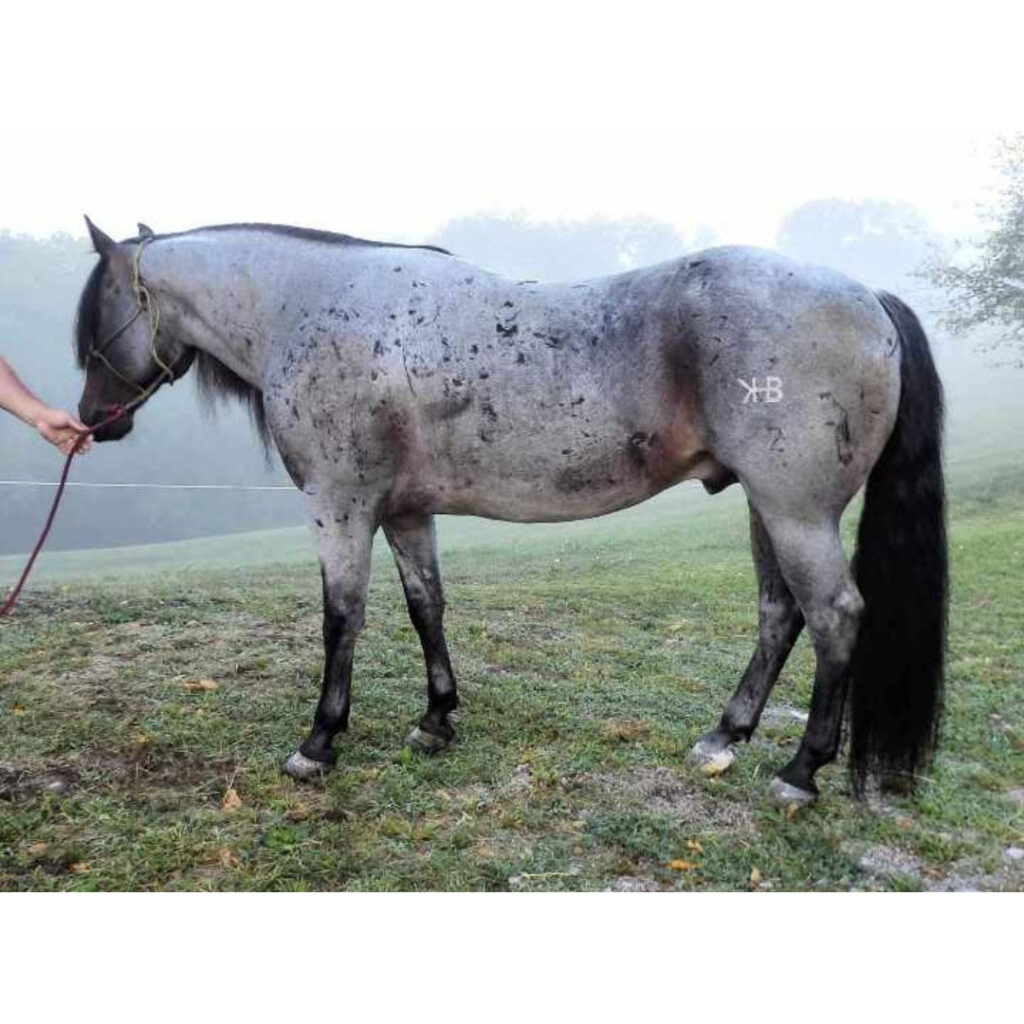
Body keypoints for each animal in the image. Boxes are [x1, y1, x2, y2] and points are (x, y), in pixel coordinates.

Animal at [73, 217, 946, 808]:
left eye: (98, 318)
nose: (91, 420)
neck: (312, 306)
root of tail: (868, 296)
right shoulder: (405, 513)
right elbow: (425, 604)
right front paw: (436, 719)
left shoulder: (339, 504)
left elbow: (341, 617)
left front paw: (319, 742)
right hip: (770, 510)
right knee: (779, 614)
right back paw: (723, 739)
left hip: (794, 512)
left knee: (832, 616)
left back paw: (801, 770)